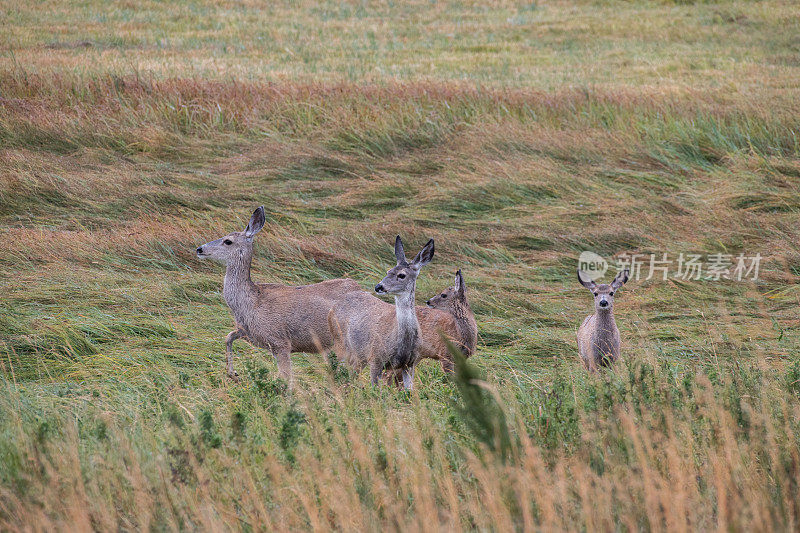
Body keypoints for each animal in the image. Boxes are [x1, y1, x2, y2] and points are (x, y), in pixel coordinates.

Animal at [196, 206, 362, 384]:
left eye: (228, 241)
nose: (199, 249)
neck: (251, 302)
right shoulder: (248, 332)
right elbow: (228, 336)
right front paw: (232, 373)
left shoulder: (280, 341)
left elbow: (286, 377)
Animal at [326, 235, 434, 388]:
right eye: (388, 271)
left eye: (401, 275)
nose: (378, 287)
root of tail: (333, 307)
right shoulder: (375, 358)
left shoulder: (410, 364)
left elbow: (409, 391)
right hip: (340, 342)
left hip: (358, 355)